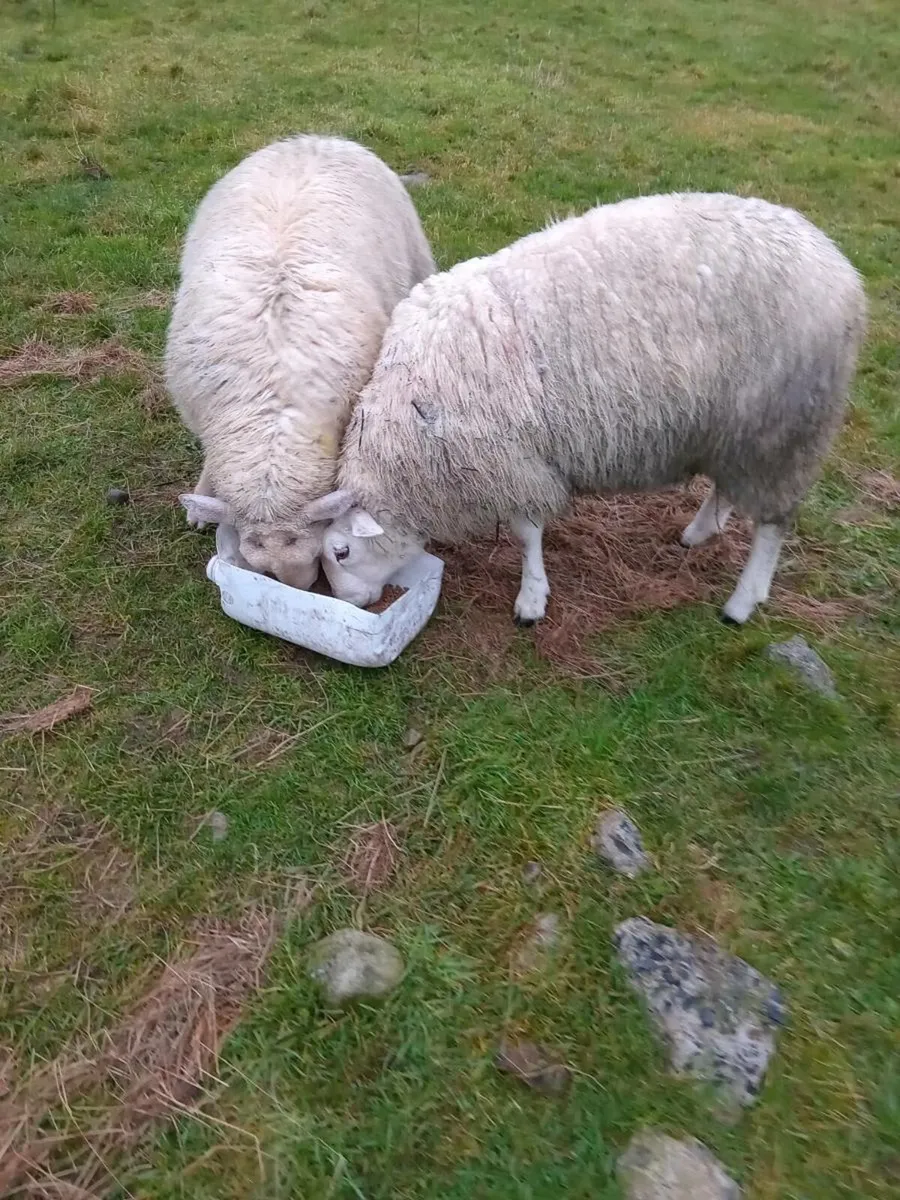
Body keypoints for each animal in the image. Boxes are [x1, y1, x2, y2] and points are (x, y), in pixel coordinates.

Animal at [165, 134, 435, 588]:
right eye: (263, 570)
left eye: (311, 563)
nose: (299, 586)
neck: (273, 421)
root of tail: (318, 138)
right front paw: (202, 496)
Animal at [303, 191, 867, 623]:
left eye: (341, 551)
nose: (353, 605)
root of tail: (836, 261)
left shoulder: (514, 458)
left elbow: (526, 531)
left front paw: (532, 598)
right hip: (742, 424)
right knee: (728, 483)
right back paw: (700, 530)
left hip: (790, 424)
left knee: (772, 523)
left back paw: (743, 602)